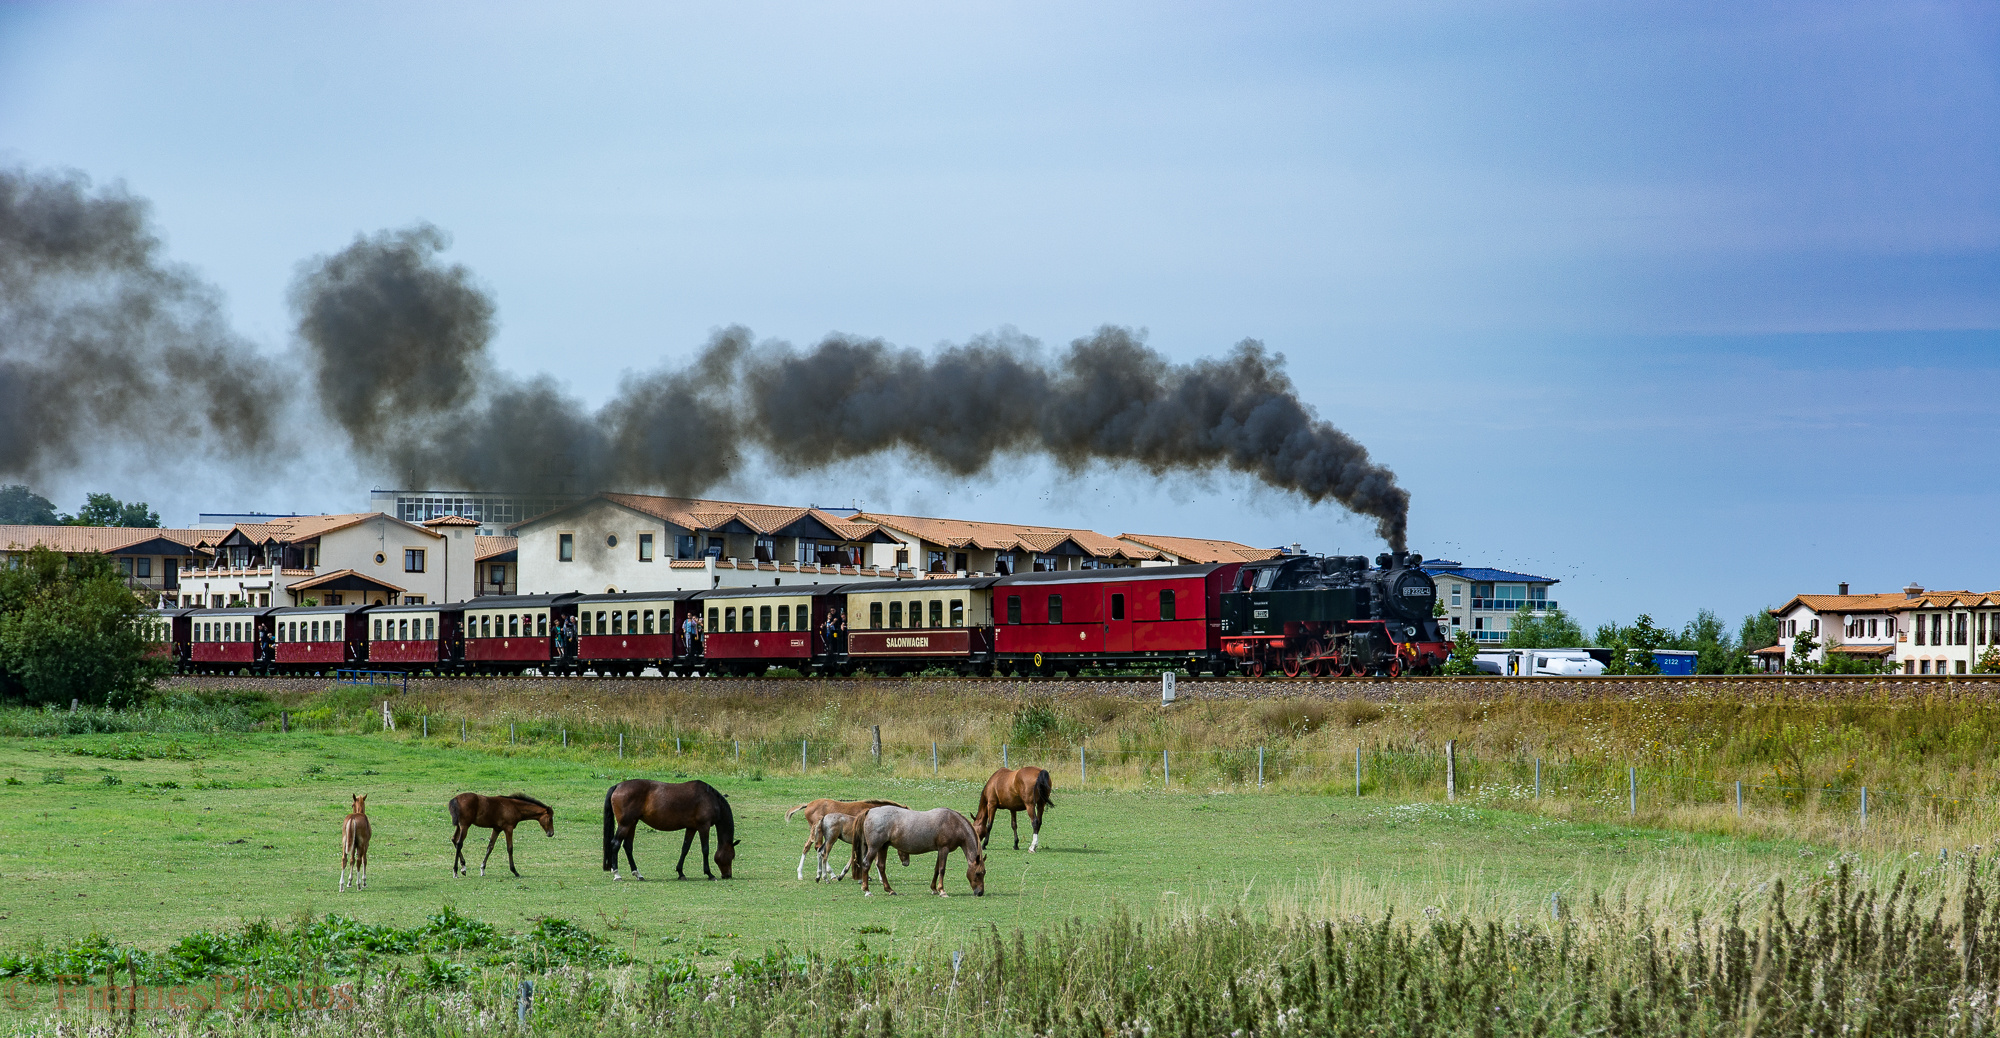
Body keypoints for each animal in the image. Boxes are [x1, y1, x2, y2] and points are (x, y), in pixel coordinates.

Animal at [608, 784, 744, 880]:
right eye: (732, 856)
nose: (728, 875)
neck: (710, 798)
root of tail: (618, 785)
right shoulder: (703, 827)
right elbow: (705, 850)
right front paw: (709, 874)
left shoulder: (691, 828)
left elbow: (685, 849)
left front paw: (680, 873)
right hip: (625, 825)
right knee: (615, 844)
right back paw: (617, 874)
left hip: (632, 824)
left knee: (627, 846)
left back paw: (638, 874)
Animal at [780, 800, 908, 880]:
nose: (906, 863)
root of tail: (808, 804)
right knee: (819, 849)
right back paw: (830, 874)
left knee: (808, 847)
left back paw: (801, 874)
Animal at [848, 808, 988, 896]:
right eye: (978, 873)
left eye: (984, 873)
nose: (980, 893)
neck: (953, 823)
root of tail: (869, 812)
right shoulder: (944, 849)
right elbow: (942, 869)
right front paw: (942, 891)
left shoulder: (940, 850)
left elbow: (936, 869)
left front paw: (934, 889)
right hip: (874, 847)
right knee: (866, 864)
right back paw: (867, 890)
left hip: (883, 847)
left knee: (881, 866)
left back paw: (890, 890)